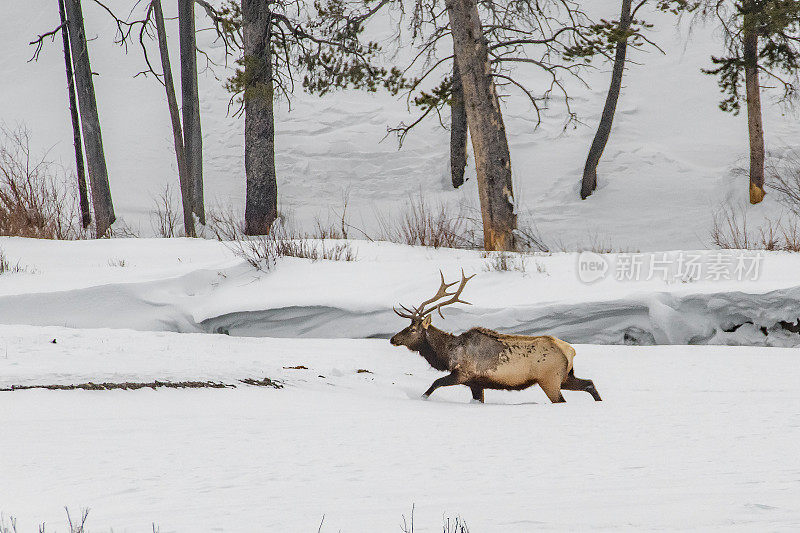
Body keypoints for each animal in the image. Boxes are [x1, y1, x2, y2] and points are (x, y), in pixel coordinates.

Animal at [390, 270, 604, 404]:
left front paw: (421, 399)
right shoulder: (475, 384)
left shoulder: (464, 374)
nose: (393, 339)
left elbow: (434, 384)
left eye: (412, 330)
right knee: (590, 383)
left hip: (549, 379)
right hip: (565, 377)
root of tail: (570, 351)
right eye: (406, 326)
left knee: (562, 400)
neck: (446, 355)